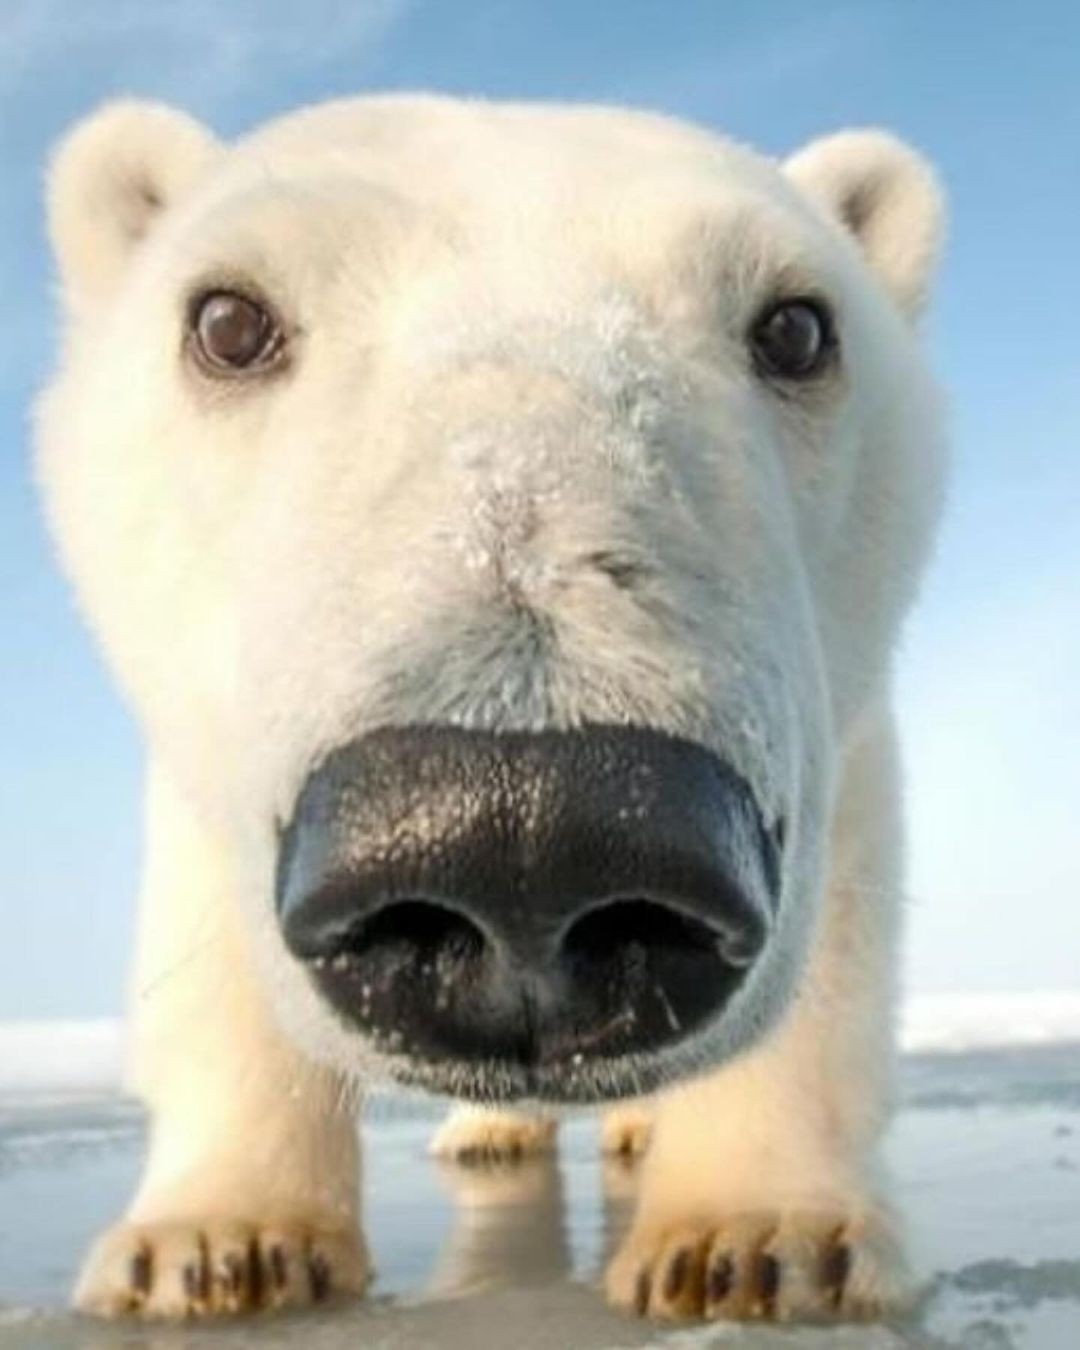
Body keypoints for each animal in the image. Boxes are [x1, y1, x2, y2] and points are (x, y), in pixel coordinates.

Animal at [36, 93, 945, 1324]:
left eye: (798, 328)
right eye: (226, 319)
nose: (524, 835)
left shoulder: (842, 733)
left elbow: (837, 922)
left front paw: (760, 1239)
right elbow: (206, 936)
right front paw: (215, 1243)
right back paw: (486, 1136)